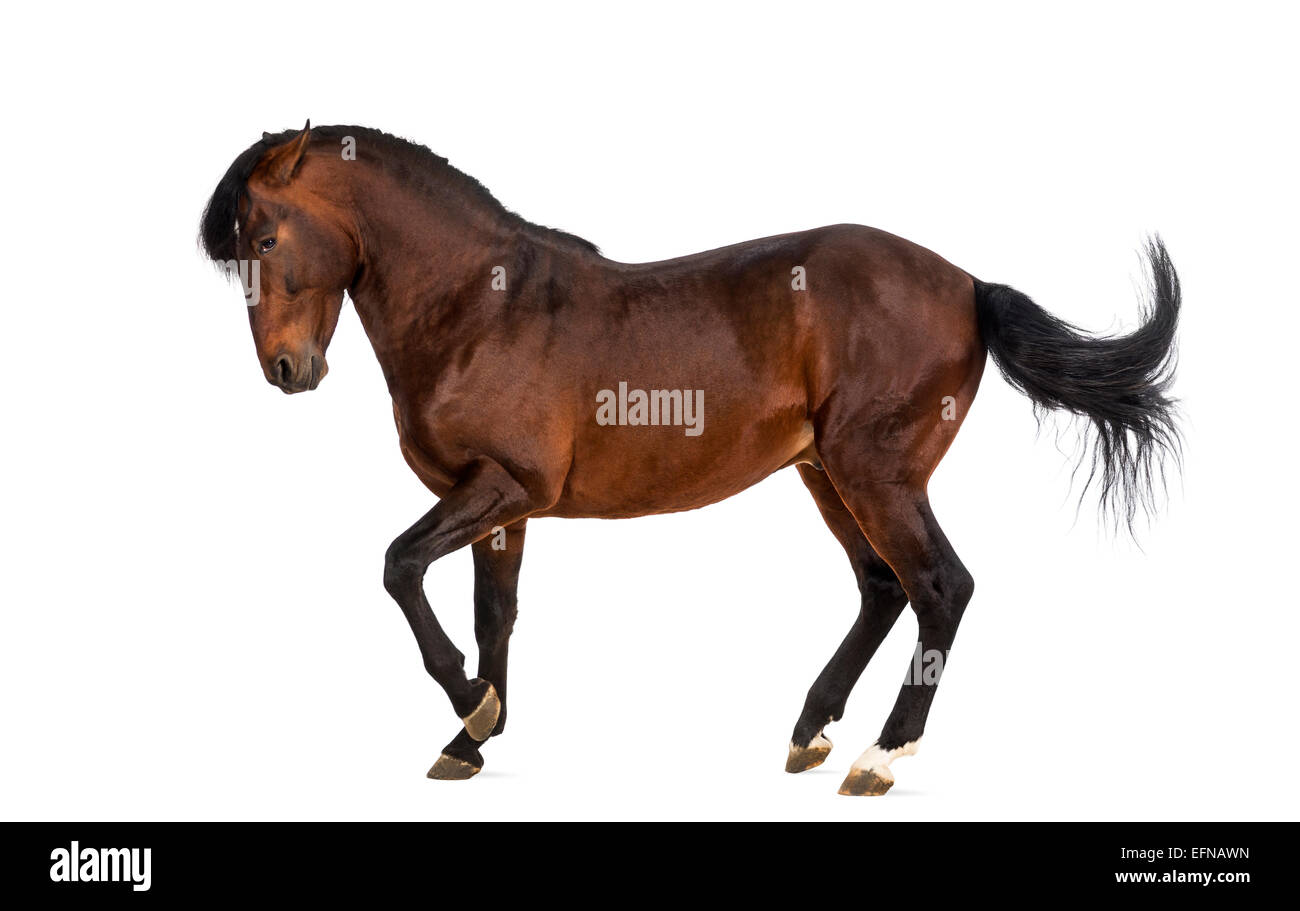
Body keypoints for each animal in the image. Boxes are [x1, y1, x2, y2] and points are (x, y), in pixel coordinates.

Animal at [200, 122, 1180, 795]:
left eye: (266, 239)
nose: (287, 371)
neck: (481, 306)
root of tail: (970, 286)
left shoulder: (502, 486)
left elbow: (401, 566)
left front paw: (470, 706)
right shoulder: (501, 506)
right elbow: (494, 618)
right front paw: (474, 736)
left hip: (877, 471)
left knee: (941, 586)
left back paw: (880, 756)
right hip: (827, 473)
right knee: (882, 587)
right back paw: (809, 730)